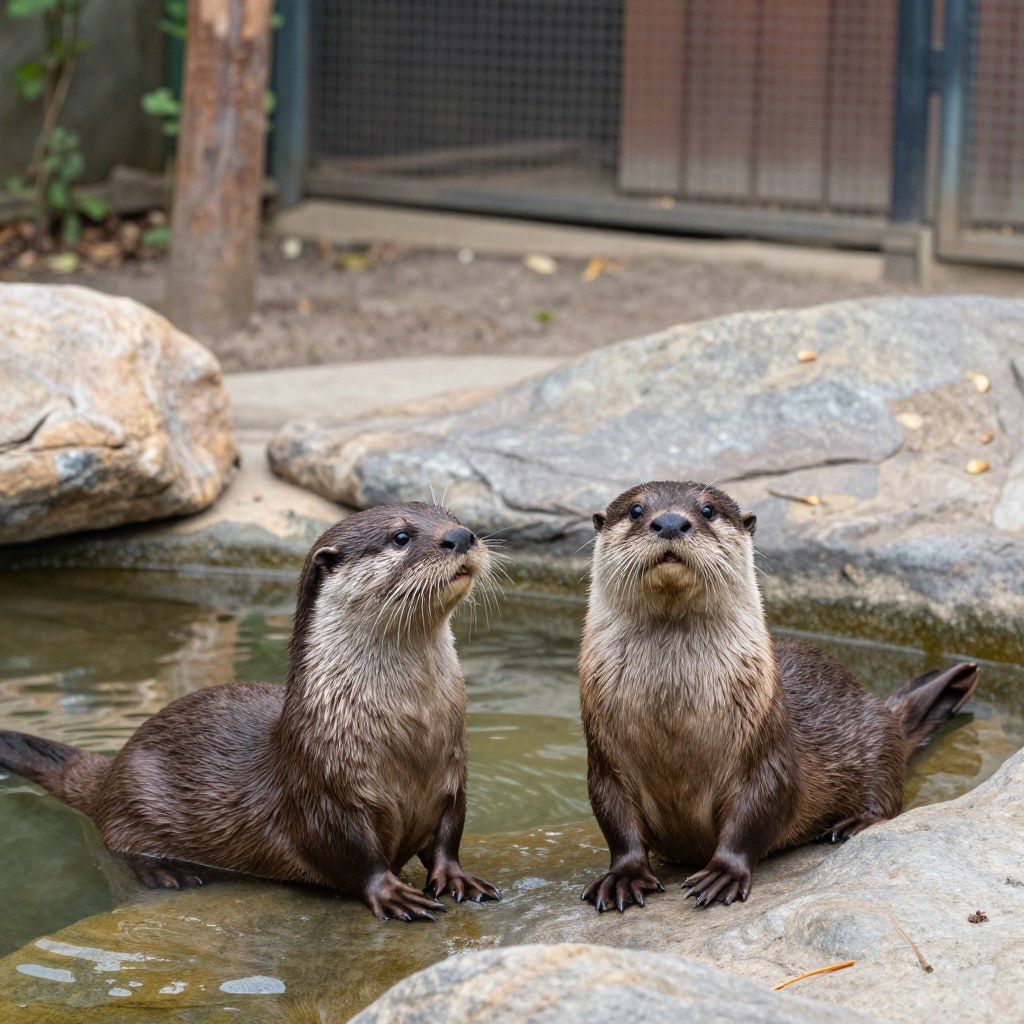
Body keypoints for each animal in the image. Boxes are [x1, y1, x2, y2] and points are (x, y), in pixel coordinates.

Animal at [0, 503, 501, 922]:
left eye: (453, 516)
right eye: (400, 537)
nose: (460, 536)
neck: (411, 734)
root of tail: (113, 767)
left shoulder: (453, 774)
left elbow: (448, 834)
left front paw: (457, 877)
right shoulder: (323, 790)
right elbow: (354, 857)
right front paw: (392, 893)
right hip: (136, 796)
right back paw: (168, 873)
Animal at [579, 480, 978, 912]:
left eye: (707, 510)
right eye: (636, 510)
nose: (669, 522)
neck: (672, 718)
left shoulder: (766, 753)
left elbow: (759, 812)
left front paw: (724, 872)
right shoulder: (605, 761)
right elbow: (615, 821)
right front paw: (624, 875)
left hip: (876, 734)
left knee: (887, 793)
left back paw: (853, 824)